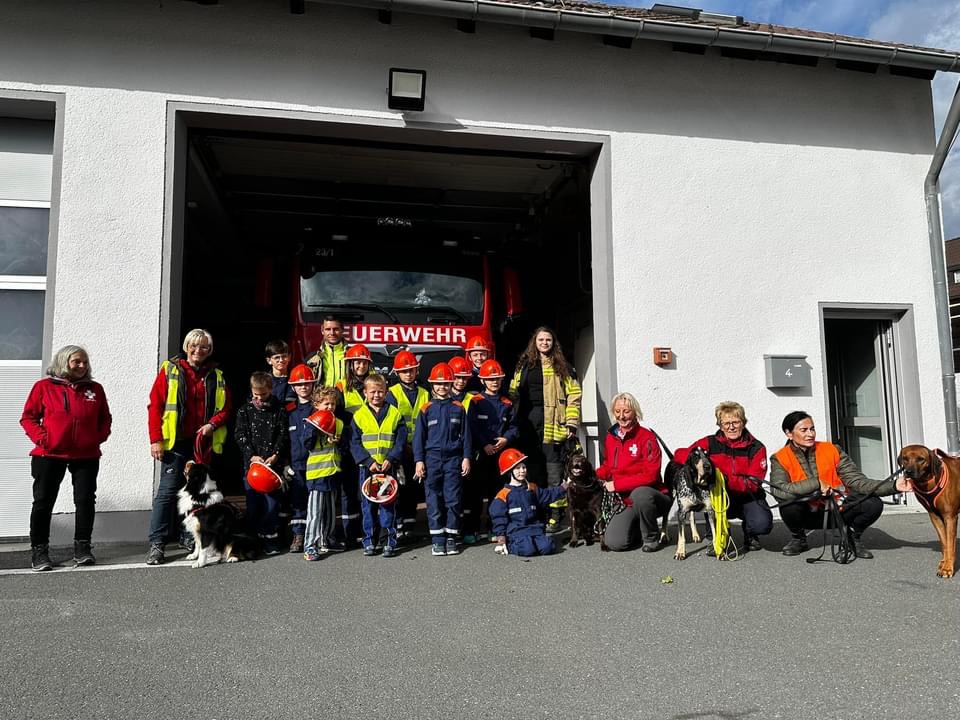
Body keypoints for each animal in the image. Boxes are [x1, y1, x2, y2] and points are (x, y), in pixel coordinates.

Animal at [896, 444, 956, 580]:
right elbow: (944, 542)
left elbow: (950, 543)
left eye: (921, 459)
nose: (909, 472)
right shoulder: (935, 516)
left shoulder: (950, 517)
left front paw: (948, 568)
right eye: (905, 458)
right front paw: (944, 563)